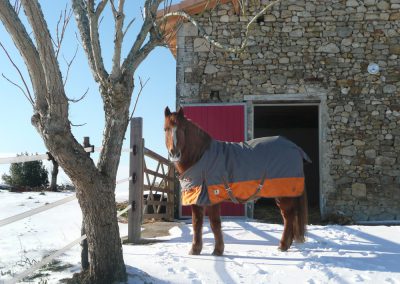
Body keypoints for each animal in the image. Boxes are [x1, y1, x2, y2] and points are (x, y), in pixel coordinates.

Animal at [162, 107, 310, 255]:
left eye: (183, 128)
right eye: (165, 129)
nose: (174, 153)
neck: (200, 156)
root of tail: (295, 148)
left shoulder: (212, 196)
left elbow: (213, 223)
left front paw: (216, 250)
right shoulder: (197, 197)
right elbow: (197, 223)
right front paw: (197, 249)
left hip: (284, 195)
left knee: (288, 217)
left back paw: (283, 245)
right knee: (288, 217)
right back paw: (286, 245)